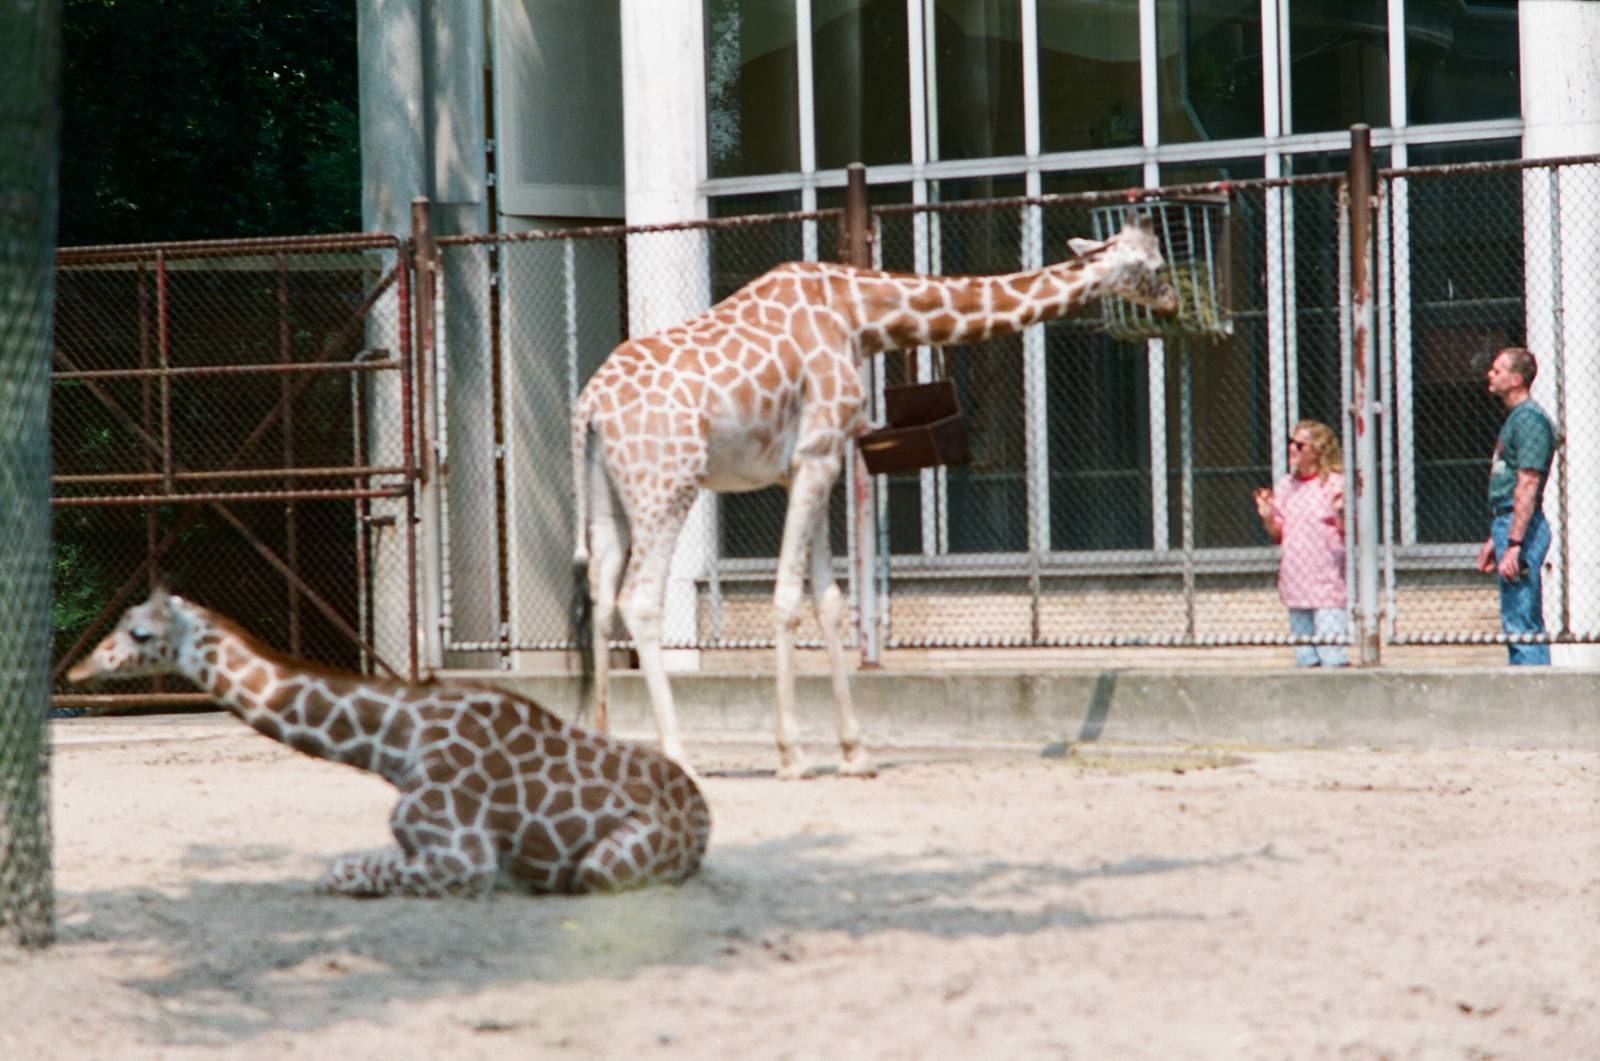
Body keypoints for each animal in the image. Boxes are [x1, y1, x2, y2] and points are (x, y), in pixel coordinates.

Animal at [67, 588, 710, 897]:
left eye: (139, 633)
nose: (77, 670)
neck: (396, 747)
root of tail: (702, 813)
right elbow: (345, 866)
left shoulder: (463, 859)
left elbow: (341, 874)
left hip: (607, 865)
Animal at [571, 220, 1178, 779]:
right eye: (1156, 264)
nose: (1174, 305)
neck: (858, 314)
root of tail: (590, 406)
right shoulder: (818, 450)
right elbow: (788, 599)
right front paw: (792, 755)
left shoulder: (805, 466)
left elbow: (829, 601)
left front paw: (854, 751)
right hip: (668, 485)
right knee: (640, 599)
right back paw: (677, 755)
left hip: (610, 497)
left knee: (600, 594)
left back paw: (601, 749)